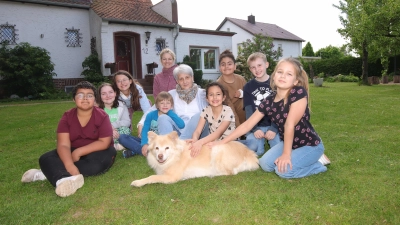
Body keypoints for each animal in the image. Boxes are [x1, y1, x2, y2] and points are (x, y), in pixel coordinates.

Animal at [130, 130, 258, 186]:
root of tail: (248, 152)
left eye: (167, 148)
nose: (160, 156)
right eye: (157, 148)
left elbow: (152, 177)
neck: (175, 157)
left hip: (217, 151)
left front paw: (138, 182)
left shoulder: (171, 177)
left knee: (231, 172)